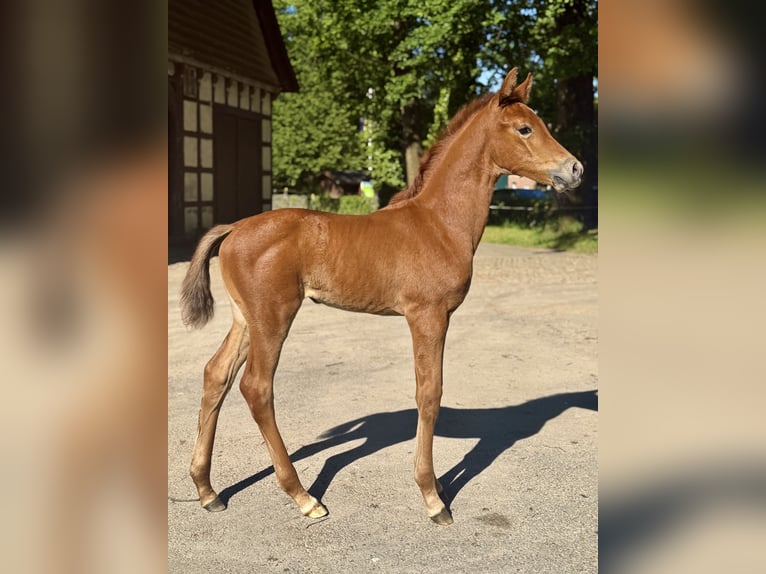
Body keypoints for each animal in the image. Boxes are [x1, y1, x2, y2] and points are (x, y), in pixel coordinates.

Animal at [180, 68, 583, 525]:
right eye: (524, 128)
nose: (575, 168)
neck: (439, 223)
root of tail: (233, 228)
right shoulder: (428, 315)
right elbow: (429, 394)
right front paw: (432, 496)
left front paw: (438, 486)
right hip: (273, 316)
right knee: (256, 387)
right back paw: (303, 496)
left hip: (244, 318)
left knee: (216, 374)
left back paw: (207, 490)